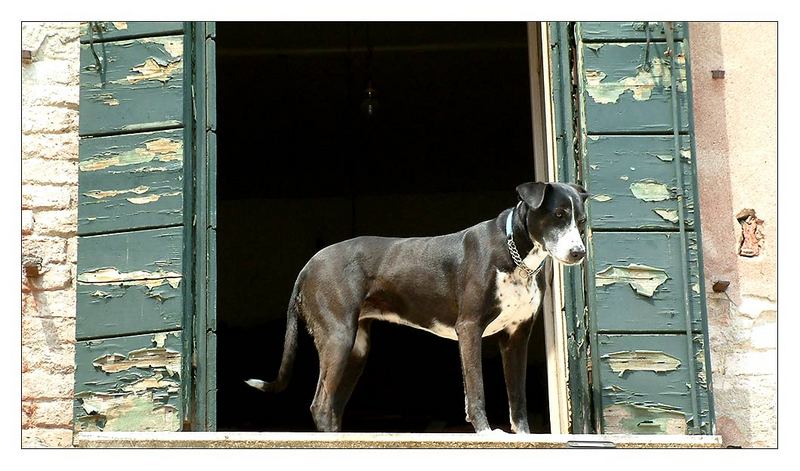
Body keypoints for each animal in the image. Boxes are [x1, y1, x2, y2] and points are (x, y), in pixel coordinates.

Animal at [247, 183, 592, 434]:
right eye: (558, 215)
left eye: (581, 221)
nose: (579, 252)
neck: (516, 255)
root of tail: (308, 265)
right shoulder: (469, 328)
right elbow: (476, 390)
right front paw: (488, 434)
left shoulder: (516, 337)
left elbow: (517, 398)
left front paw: (522, 437)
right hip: (338, 337)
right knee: (320, 405)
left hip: (357, 348)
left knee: (331, 407)